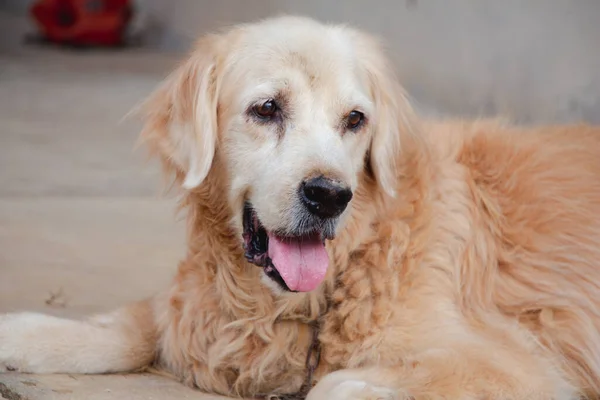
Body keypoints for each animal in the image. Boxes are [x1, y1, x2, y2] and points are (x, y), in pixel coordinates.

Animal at [1, 15, 600, 400]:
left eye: (355, 119)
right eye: (267, 108)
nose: (330, 194)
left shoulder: (520, 366)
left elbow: (340, 386)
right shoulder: (203, 311)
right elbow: (140, 322)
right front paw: (28, 333)